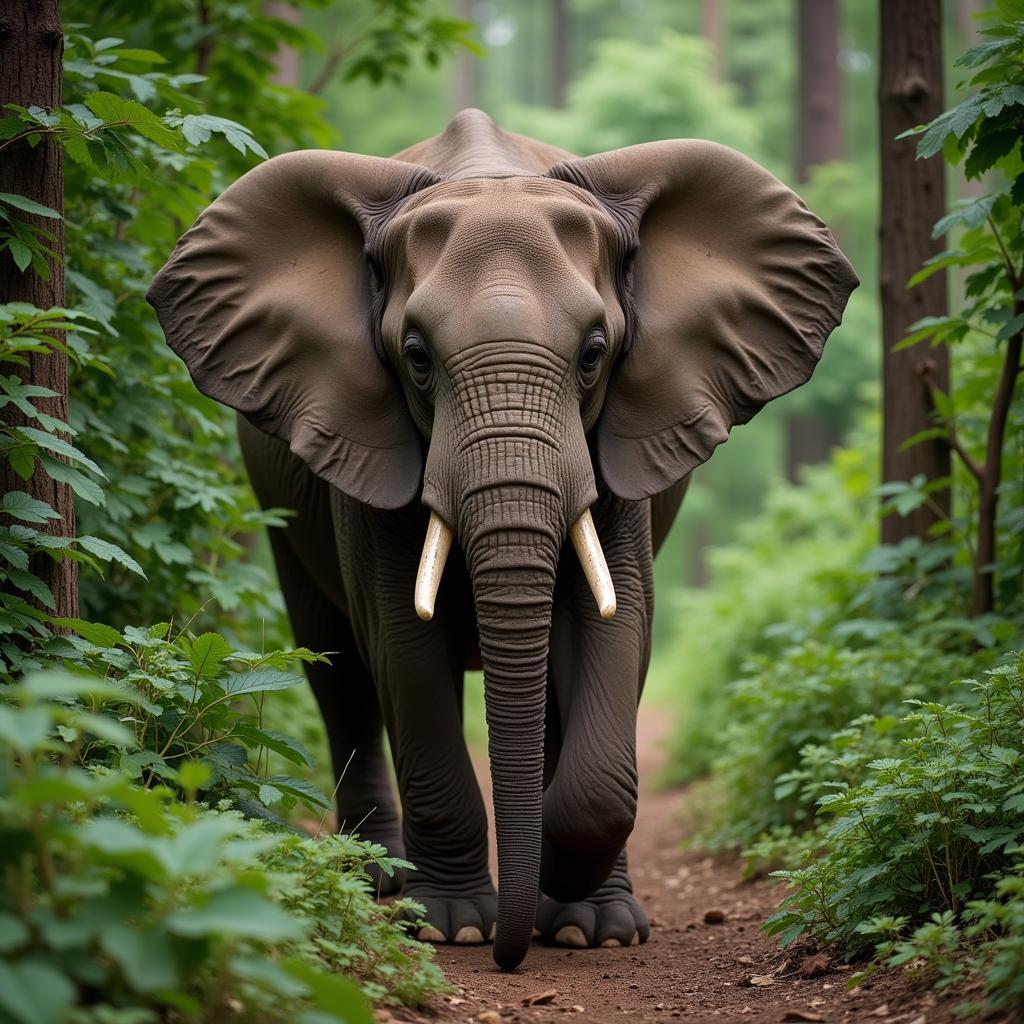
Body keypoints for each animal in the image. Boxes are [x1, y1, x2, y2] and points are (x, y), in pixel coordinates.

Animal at [148, 108, 860, 970]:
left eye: (594, 355)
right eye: (416, 359)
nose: (508, 956)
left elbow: (616, 626)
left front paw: (586, 923)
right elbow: (402, 645)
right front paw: (453, 925)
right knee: (340, 675)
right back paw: (376, 881)